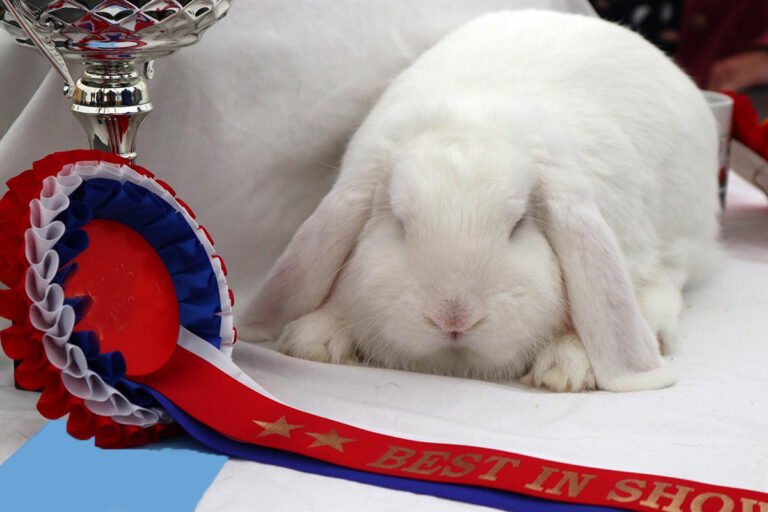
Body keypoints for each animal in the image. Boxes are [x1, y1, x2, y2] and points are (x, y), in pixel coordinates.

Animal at [242, 10, 720, 392]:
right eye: (398, 221)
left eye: (519, 224)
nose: (454, 318)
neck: (472, 120)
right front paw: (315, 340)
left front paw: (566, 367)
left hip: (685, 227)